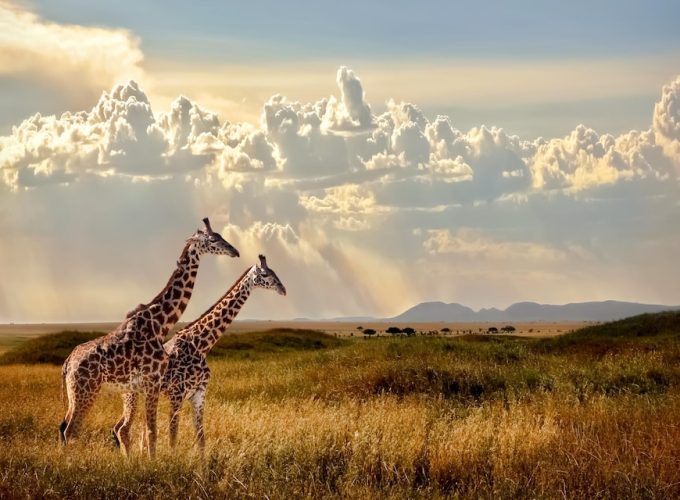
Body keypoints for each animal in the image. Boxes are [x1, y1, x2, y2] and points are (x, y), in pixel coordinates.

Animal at [59, 218, 239, 457]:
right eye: (212, 240)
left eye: (220, 236)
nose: (235, 251)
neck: (159, 324)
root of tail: (67, 363)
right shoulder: (153, 381)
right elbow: (152, 432)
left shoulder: (149, 385)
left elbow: (150, 431)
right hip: (86, 391)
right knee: (71, 430)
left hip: (76, 394)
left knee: (65, 428)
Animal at [114, 255, 286, 452]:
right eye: (265, 274)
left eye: (274, 271)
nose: (283, 289)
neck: (200, 345)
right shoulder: (177, 394)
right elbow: (173, 438)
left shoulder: (199, 394)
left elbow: (201, 439)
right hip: (131, 394)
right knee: (123, 429)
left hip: (143, 395)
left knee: (131, 429)